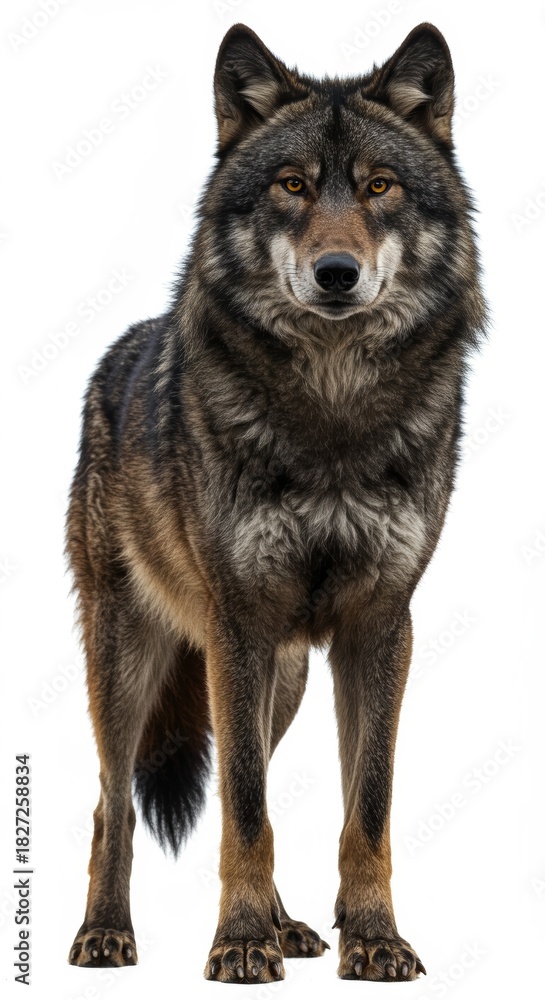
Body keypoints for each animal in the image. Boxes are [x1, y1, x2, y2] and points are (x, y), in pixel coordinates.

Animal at [66, 22, 485, 983]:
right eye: (291, 185)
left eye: (378, 186)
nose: (336, 273)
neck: (329, 413)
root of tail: (116, 353)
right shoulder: (239, 623)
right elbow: (246, 807)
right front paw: (239, 941)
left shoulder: (380, 624)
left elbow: (364, 807)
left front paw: (371, 938)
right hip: (133, 658)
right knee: (117, 801)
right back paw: (106, 934)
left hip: (279, 676)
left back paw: (290, 925)